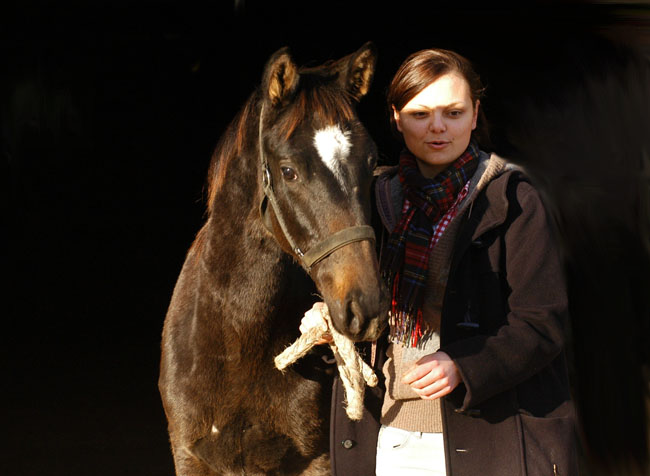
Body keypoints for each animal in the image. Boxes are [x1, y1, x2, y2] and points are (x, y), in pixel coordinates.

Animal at [159, 41, 388, 476]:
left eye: (371, 164)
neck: (235, 346)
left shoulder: (316, 459)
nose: (365, 307)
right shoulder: (189, 457)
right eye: (288, 171)